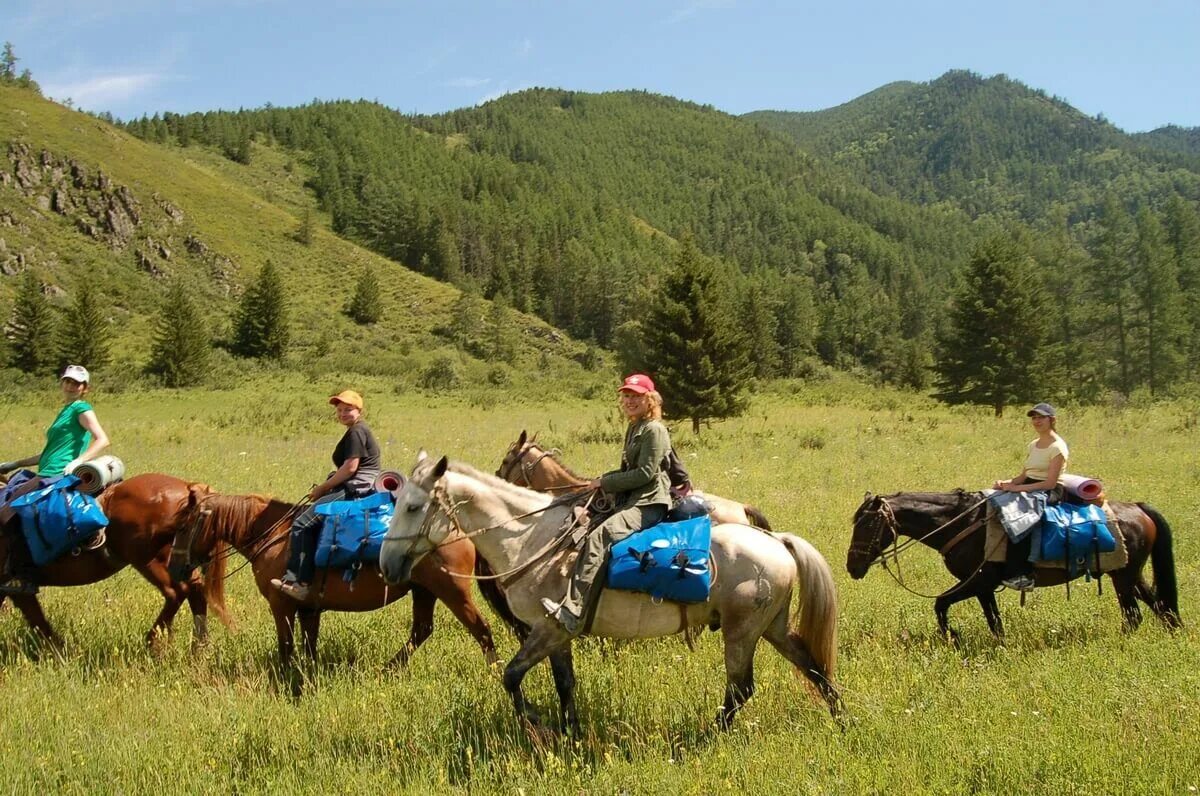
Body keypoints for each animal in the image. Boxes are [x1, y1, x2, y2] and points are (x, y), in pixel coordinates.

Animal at [0, 473, 231, 653]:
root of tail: (187, 489)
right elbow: (37, 621)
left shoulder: (16, 588)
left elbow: (38, 622)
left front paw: (61, 654)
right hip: (177, 562)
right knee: (195, 591)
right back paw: (199, 648)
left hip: (150, 560)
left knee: (176, 592)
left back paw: (152, 641)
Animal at [165, 489, 516, 667]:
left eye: (182, 526)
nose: (173, 567)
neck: (273, 534)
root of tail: (456, 525)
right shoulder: (309, 609)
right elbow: (308, 645)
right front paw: (307, 675)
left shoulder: (281, 605)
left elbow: (286, 646)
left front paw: (286, 680)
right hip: (424, 590)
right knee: (422, 630)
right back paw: (389, 669)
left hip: (452, 591)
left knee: (481, 629)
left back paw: (493, 670)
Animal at [379, 453, 840, 734]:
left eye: (414, 507)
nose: (386, 564)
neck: (530, 537)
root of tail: (776, 541)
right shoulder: (556, 635)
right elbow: (564, 684)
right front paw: (570, 732)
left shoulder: (547, 629)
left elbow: (511, 677)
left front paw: (539, 726)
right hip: (771, 626)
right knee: (813, 666)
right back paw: (842, 719)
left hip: (742, 631)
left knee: (741, 689)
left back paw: (706, 736)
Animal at [844, 489, 1180, 643]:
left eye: (867, 525)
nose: (852, 566)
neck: (962, 523)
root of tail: (1138, 508)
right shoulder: (982, 587)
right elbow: (994, 622)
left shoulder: (978, 582)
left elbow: (940, 604)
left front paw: (953, 637)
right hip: (1130, 574)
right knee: (1160, 607)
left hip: (1123, 577)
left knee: (1134, 615)